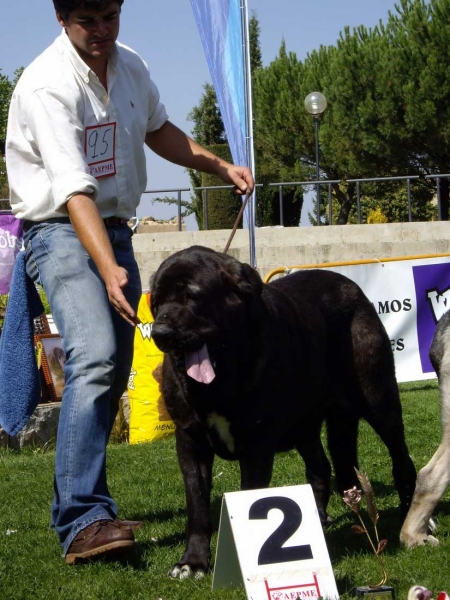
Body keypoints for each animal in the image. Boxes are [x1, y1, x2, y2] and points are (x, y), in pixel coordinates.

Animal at [149, 246, 416, 580]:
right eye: (156, 303)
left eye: (192, 296)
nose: (160, 331)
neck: (222, 378)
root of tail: (353, 289)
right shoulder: (190, 440)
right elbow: (197, 505)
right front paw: (193, 562)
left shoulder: (257, 444)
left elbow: (249, 498)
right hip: (305, 424)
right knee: (320, 468)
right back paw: (317, 521)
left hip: (378, 399)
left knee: (401, 459)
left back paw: (412, 515)